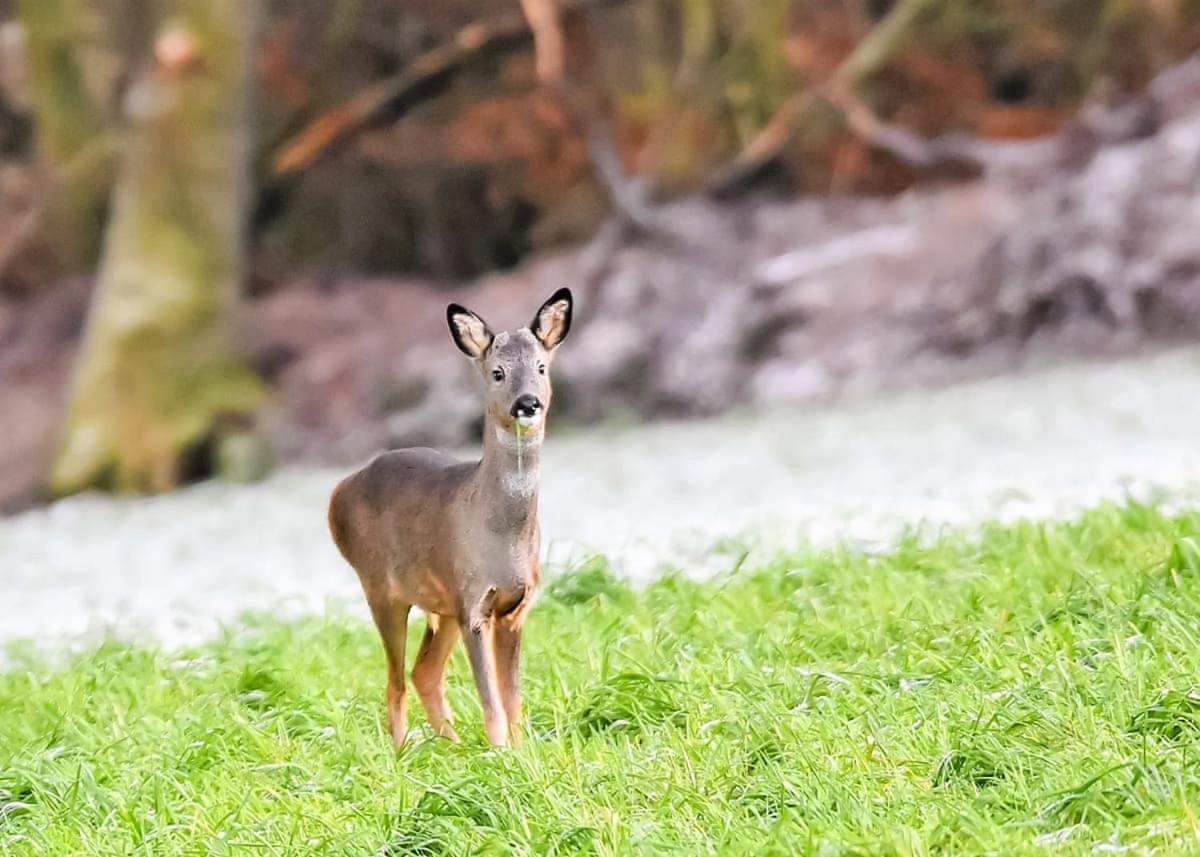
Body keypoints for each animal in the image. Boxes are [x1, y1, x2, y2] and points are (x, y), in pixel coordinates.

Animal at [326, 285, 573, 739]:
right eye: (498, 372)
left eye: (542, 367)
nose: (527, 403)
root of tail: (338, 491)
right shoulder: (471, 600)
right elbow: (491, 701)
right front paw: (499, 750)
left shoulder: (516, 606)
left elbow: (513, 699)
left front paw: (521, 749)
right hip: (380, 588)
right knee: (395, 682)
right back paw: (404, 751)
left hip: (438, 607)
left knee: (424, 672)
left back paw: (452, 745)